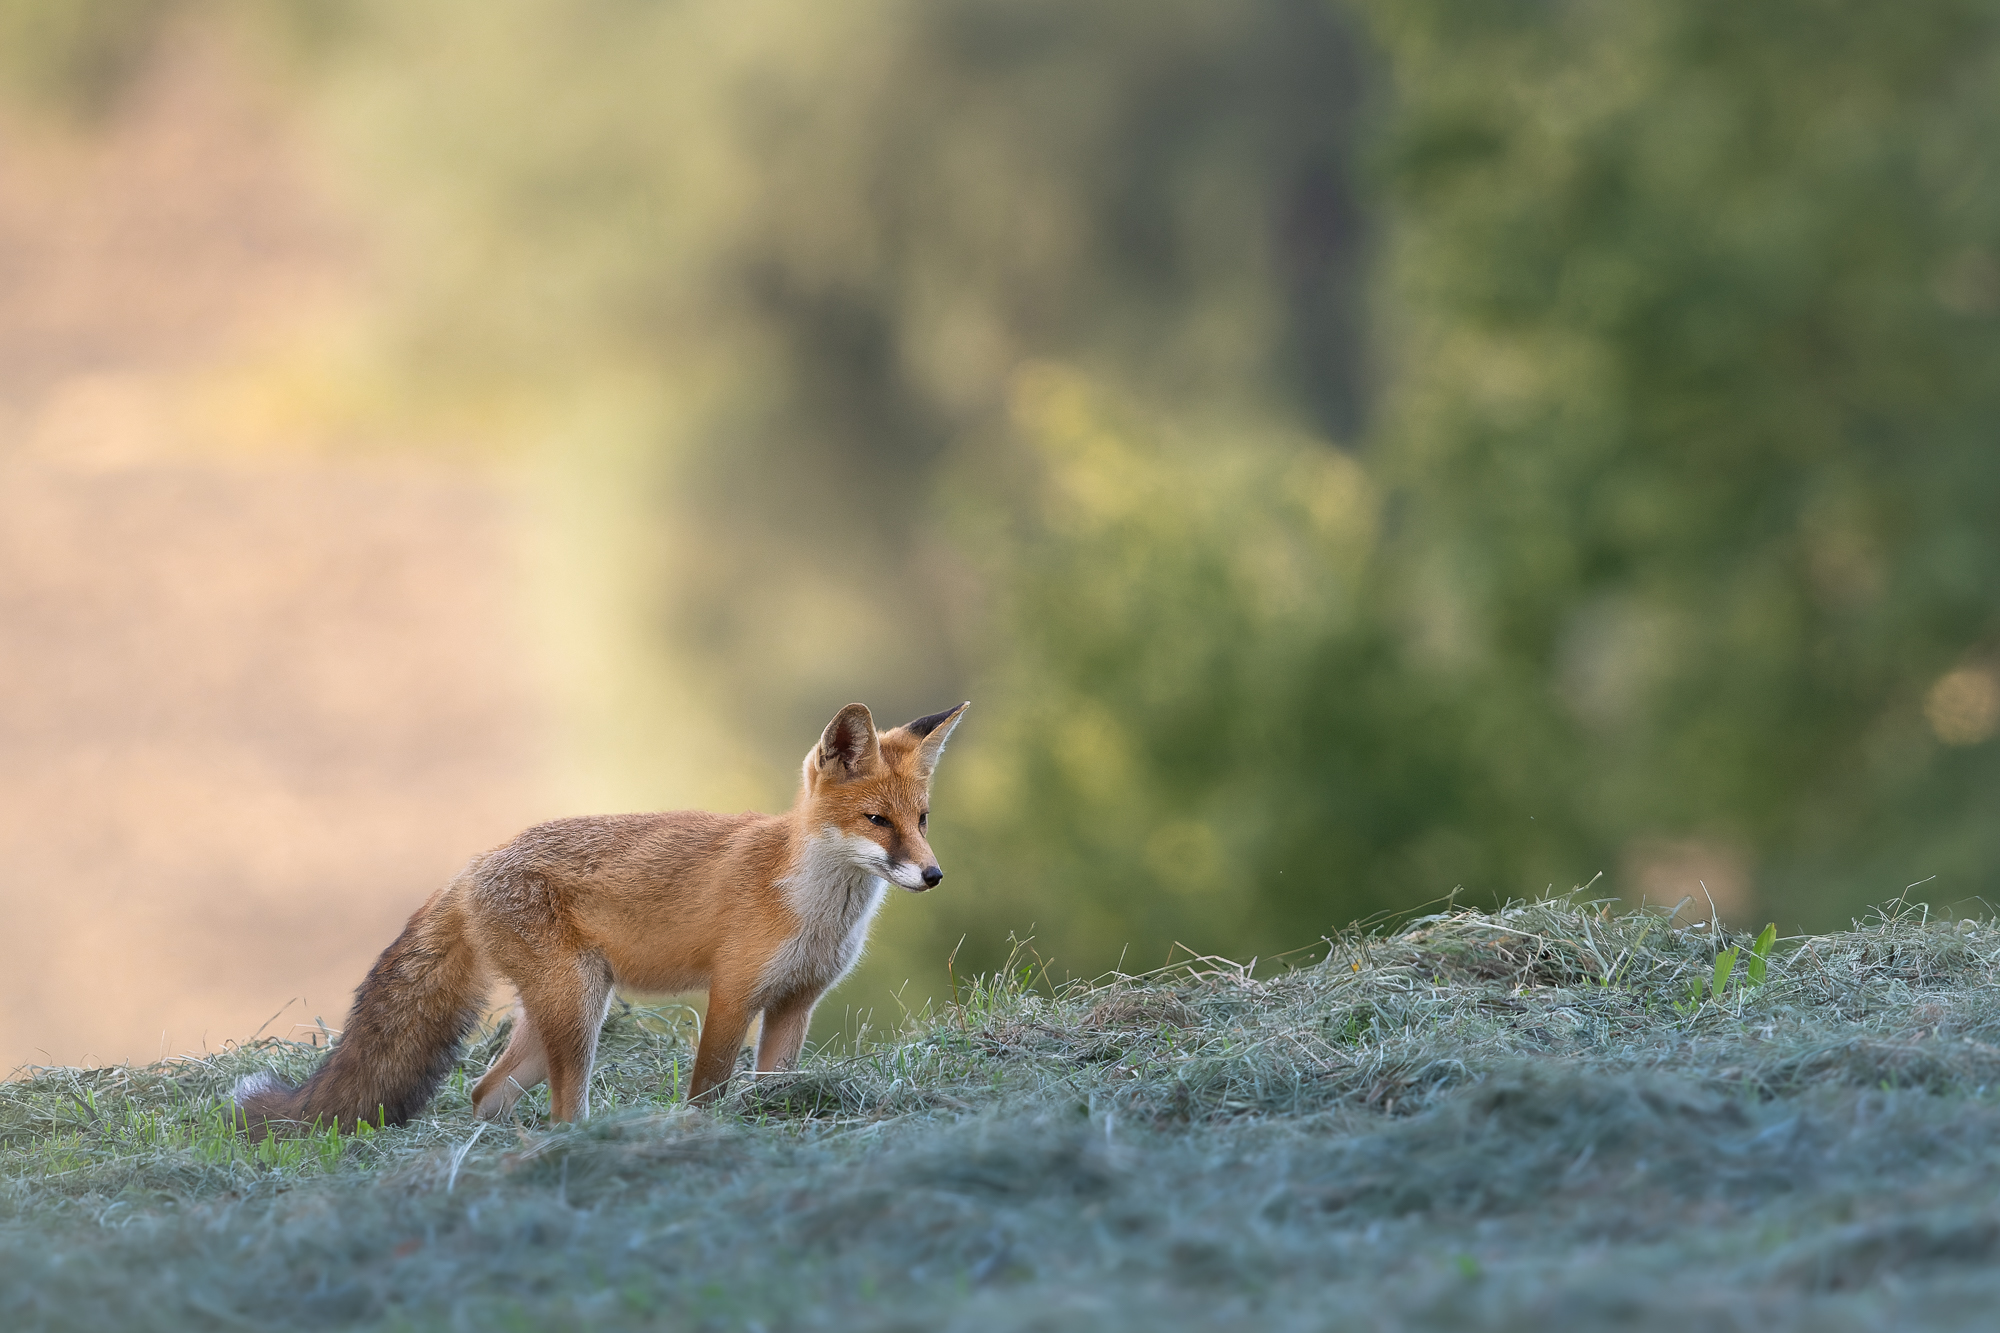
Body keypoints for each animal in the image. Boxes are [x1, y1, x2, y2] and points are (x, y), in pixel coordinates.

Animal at [234, 696, 968, 1128]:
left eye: (923, 820)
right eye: (876, 821)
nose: (934, 875)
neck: (810, 905)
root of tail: (472, 866)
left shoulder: (796, 1001)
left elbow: (768, 1084)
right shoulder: (732, 993)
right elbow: (706, 1092)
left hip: (564, 1013)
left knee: (484, 1092)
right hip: (578, 1007)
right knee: (558, 1109)